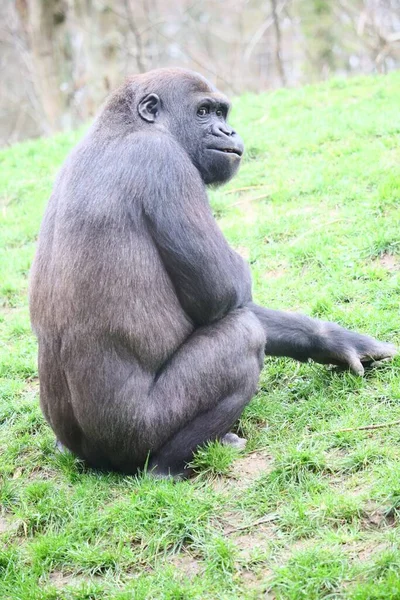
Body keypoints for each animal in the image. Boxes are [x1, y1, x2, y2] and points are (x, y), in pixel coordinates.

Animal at [28, 67, 396, 478]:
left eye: (222, 112)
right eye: (204, 112)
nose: (228, 131)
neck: (122, 126)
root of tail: (93, 460)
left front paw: (331, 340)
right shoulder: (165, 163)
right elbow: (226, 293)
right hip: (136, 437)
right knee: (242, 339)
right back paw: (169, 465)